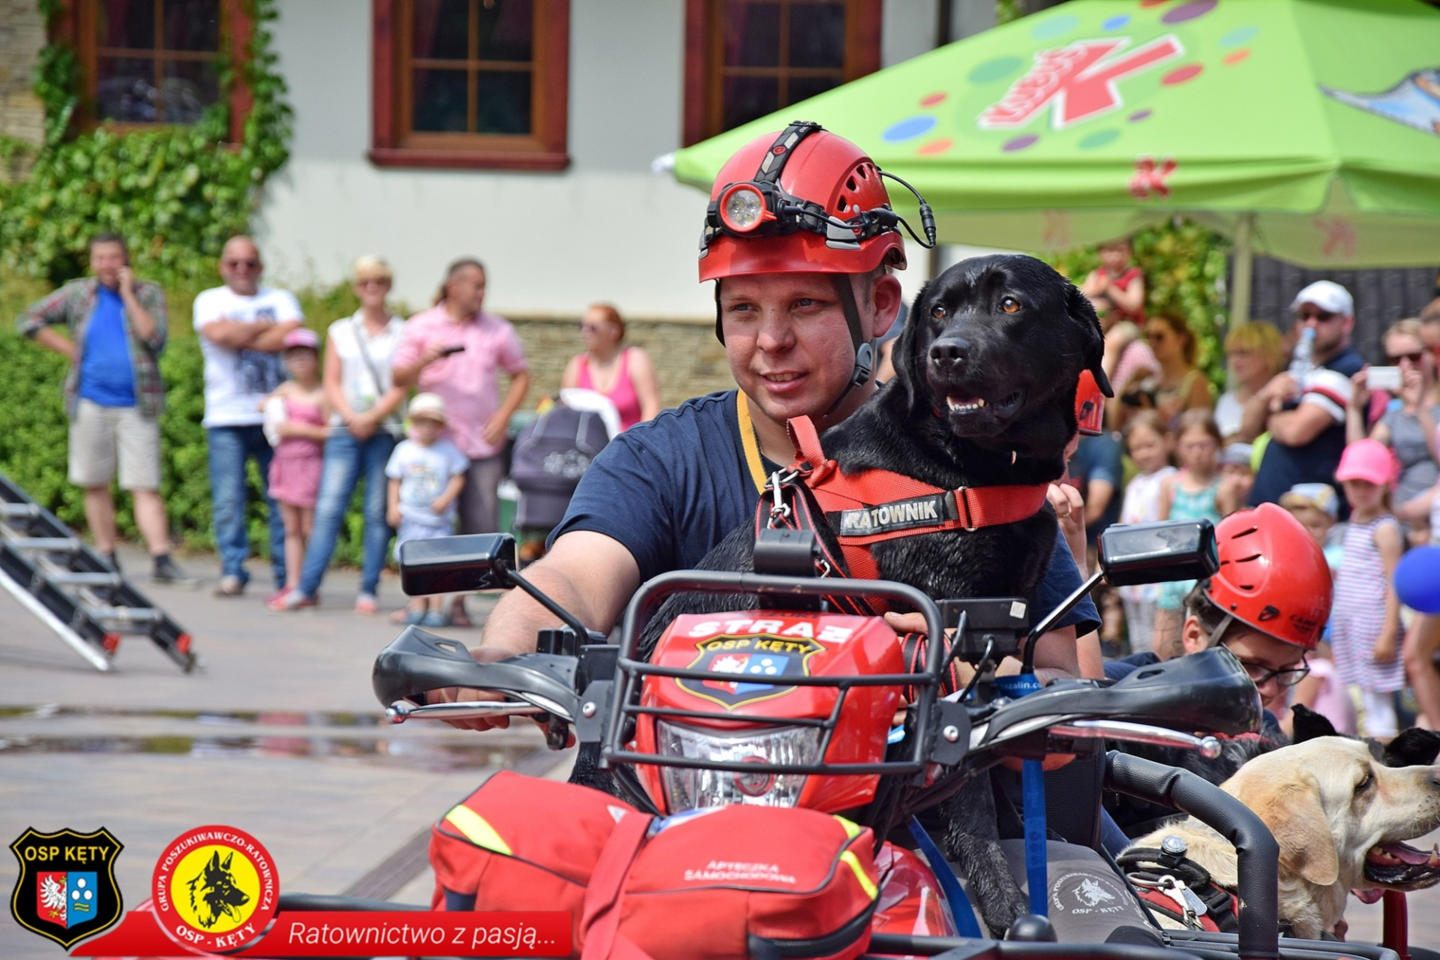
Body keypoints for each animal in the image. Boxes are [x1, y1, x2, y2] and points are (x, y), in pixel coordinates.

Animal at [578, 254, 1105, 938]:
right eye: (938, 311)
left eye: (1010, 304)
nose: (947, 352)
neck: (966, 471)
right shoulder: (946, 637)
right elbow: (968, 788)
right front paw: (1000, 897)